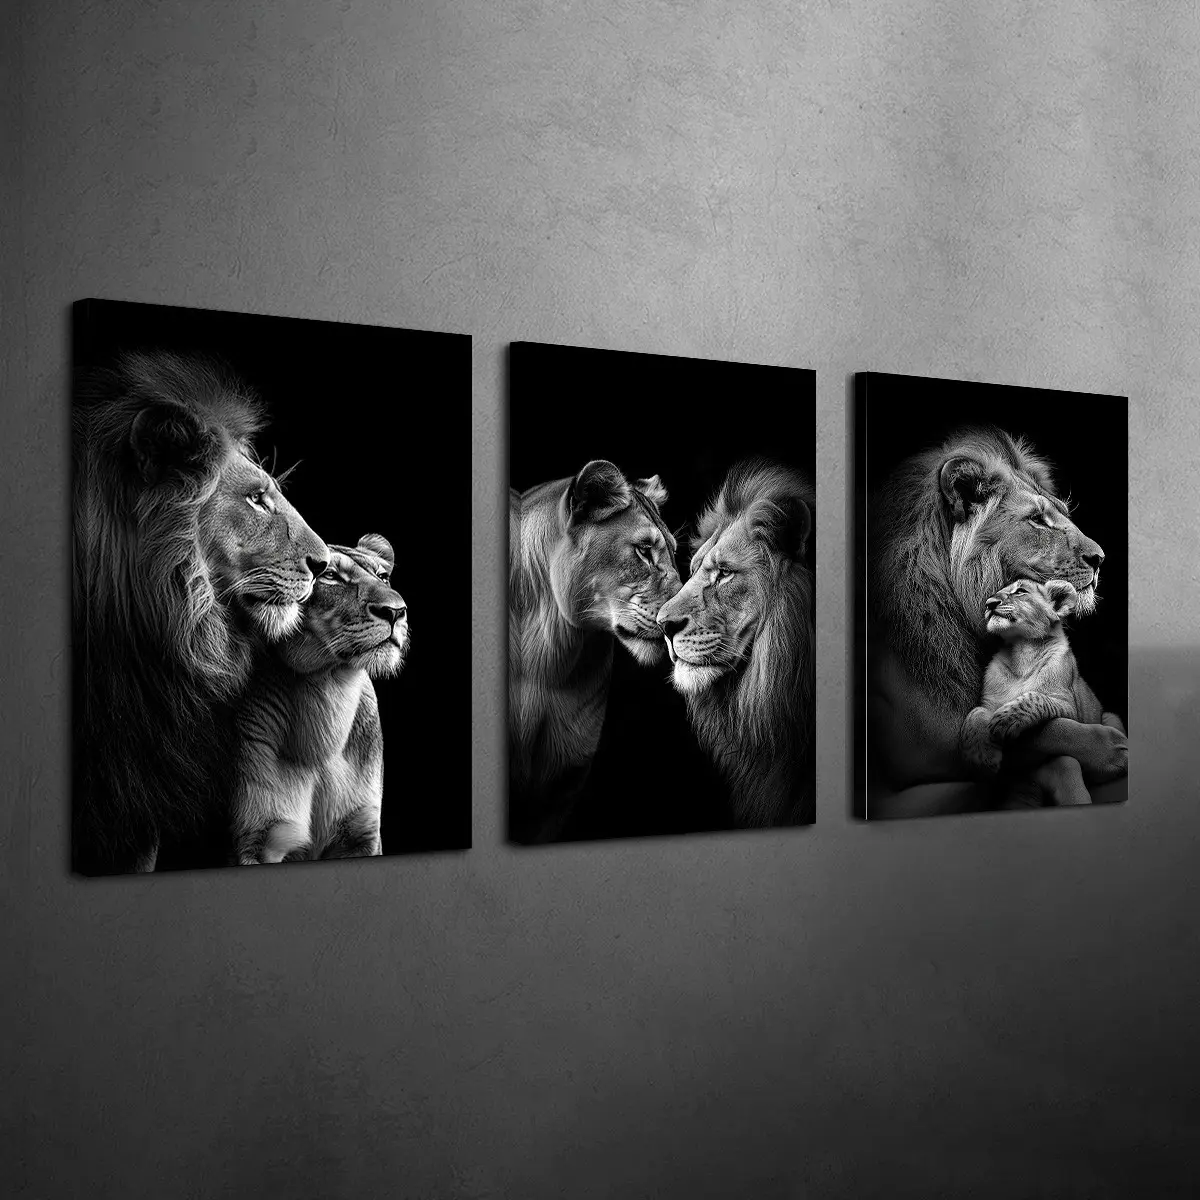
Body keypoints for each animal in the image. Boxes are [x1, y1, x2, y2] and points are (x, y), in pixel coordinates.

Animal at [867, 425, 1127, 817]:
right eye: (1037, 519)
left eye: (1063, 513)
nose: (1100, 559)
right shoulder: (927, 750)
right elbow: (1040, 733)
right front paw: (1110, 745)